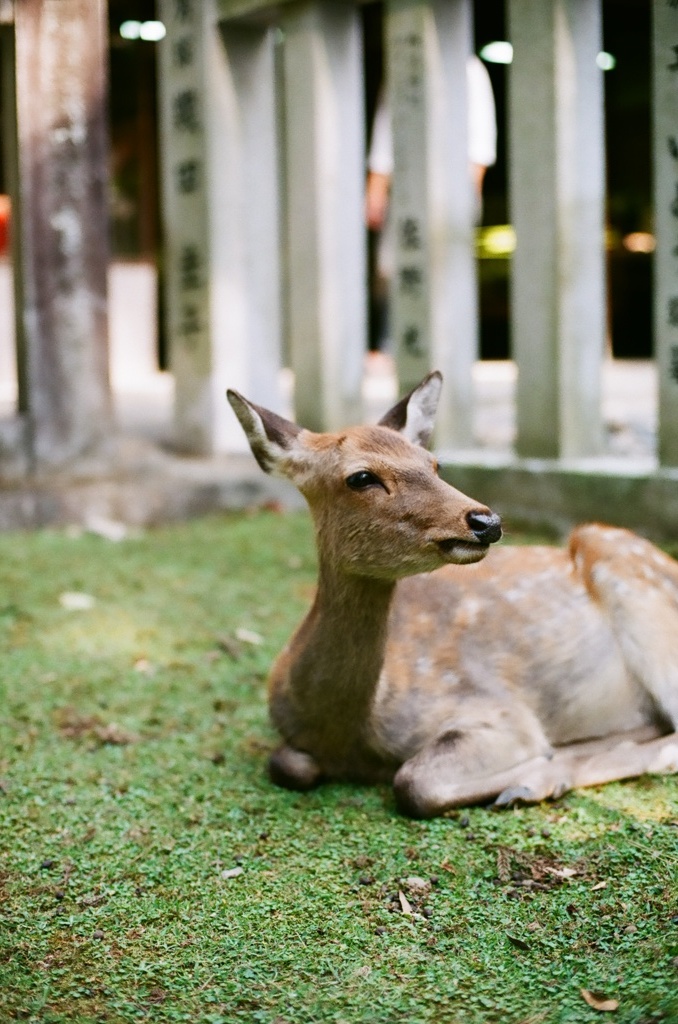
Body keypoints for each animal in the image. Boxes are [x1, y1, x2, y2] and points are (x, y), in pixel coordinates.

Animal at [227, 370, 678, 815]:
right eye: (361, 477)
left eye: (434, 464)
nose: (486, 521)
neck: (343, 729)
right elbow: (286, 763)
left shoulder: (497, 711)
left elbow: (414, 782)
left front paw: (540, 767)